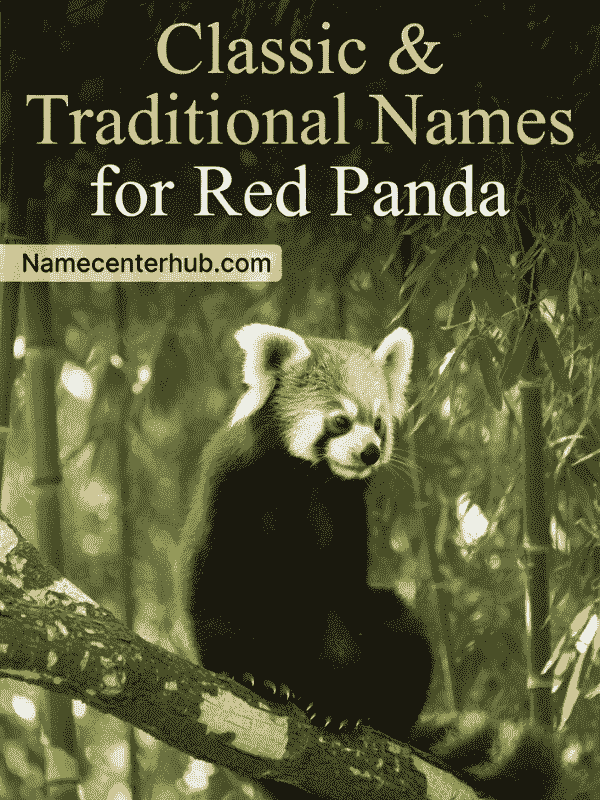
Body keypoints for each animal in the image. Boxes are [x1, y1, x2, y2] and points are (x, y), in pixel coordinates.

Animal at [177, 324, 561, 800]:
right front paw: (249, 671)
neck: (305, 477)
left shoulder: (346, 516)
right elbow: (212, 590)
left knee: (394, 621)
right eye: (341, 420)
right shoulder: (229, 487)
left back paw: (371, 714)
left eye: (378, 423)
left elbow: (343, 602)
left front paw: (341, 703)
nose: (371, 451)